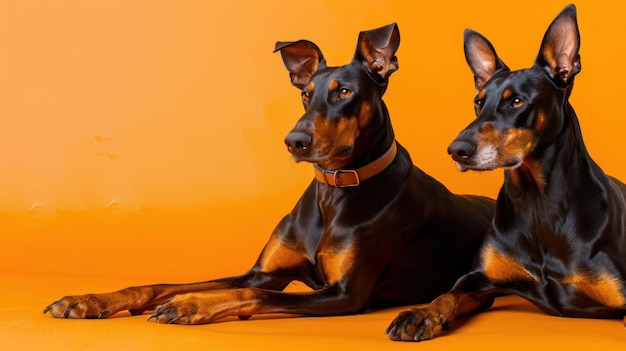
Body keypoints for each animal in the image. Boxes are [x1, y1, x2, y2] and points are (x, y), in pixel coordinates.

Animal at [42, 23, 492, 326]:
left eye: (345, 92)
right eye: (306, 94)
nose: (295, 141)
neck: (334, 191)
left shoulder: (345, 294)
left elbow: (251, 292)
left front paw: (191, 304)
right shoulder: (264, 271)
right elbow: (166, 284)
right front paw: (89, 300)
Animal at [386, 4, 624, 342]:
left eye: (517, 101)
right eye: (478, 102)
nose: (457, 150)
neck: (538, 203)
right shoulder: (480, 279)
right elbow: (448, 293)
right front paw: (422, 313)